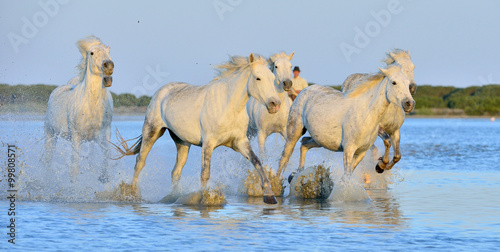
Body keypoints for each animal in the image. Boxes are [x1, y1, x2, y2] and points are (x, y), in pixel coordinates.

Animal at [43, 35, 113, 181]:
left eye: (108, 52)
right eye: (91, 53)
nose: (109, 66)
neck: (91, 107)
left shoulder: (104, 136)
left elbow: (106, 164)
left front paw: (103, 178)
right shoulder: (76, 137)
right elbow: (74, 168)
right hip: (50, 133)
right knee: (48, 159)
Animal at [114, 53, 284, 205]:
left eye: (272, 78)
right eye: (258, 78)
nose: (275, 104)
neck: (229, 107)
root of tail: (161, 91)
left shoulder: (240, 142)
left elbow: (257, 162)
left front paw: (270, 196)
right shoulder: (209, 143)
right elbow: (205, 173)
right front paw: (206, 199)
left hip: (182, 142)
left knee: (176, 172)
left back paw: (174, 197)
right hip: (152, 131)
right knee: (139, 162)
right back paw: (132, 194)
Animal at [278, 64, 414, 179]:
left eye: (408, 83)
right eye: (394, 82)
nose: (410, 103)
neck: (366, 114)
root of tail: (305, 90)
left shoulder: (362, 152)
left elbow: (347, 176)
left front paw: (380, 166)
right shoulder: (349, 150)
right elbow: (347, 176)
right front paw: (380, 166)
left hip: (320, 140)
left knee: (304, 144)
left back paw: (296, 175)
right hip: (294, 133)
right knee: (285, 157)